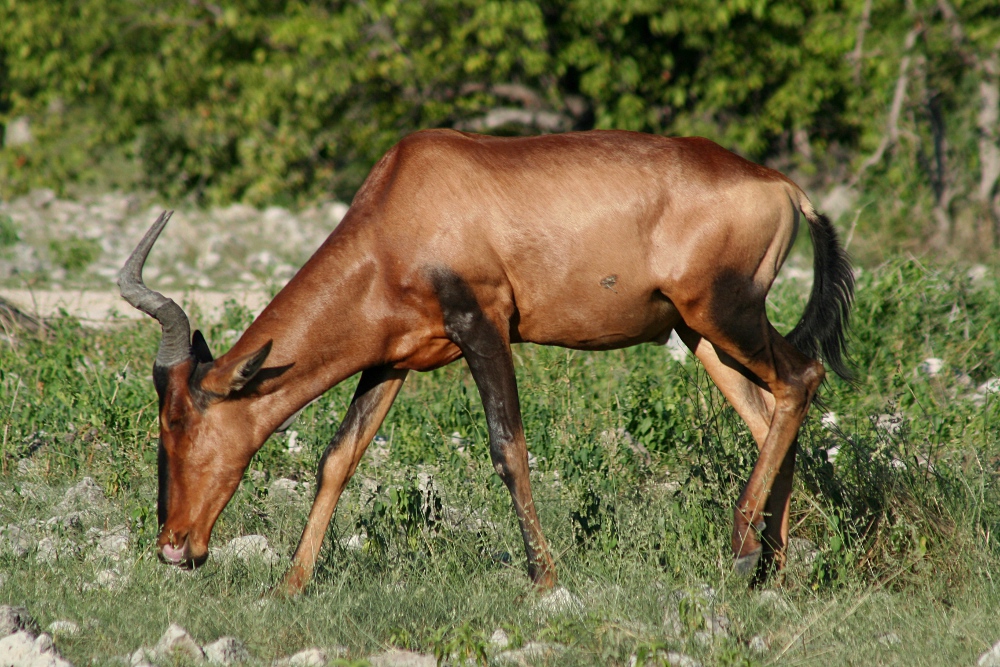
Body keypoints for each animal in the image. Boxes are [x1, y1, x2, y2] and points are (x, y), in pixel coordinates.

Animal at [119, 129, 853, 596]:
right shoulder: (391, 361)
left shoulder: (485, 328)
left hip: (724, 315)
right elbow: (339, 456)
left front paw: (544, 579)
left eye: (180, 425)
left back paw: (741, 553)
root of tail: (785, 187)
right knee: (770, 414)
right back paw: (767, 568)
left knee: (802, 377)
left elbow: (508, 448)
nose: (175, 546)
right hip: (699, 332)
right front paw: (288, 586)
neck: (407, 200)